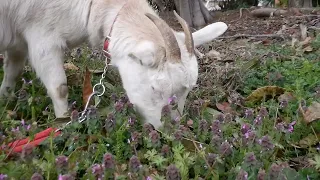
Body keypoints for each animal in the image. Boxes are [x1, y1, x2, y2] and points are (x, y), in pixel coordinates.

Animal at [0, 0, 228, 129]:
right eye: (156, 88)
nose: (168, 129)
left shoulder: (18, 42)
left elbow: (13, 71)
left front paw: (4, 99)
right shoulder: (42, 37)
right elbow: (59, 88)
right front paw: (64, 123)